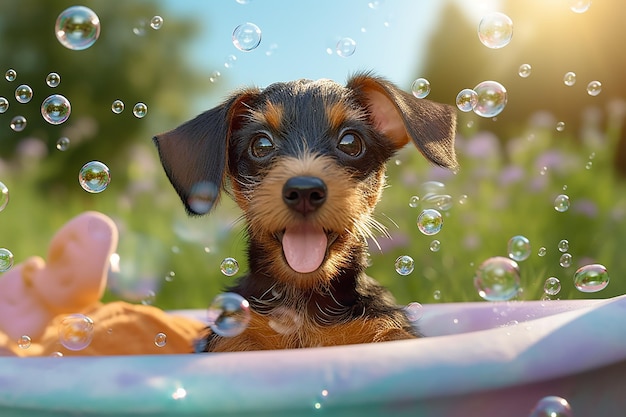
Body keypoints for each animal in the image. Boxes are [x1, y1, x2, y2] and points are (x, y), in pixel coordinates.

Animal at [151, 73, 454, 350]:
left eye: (350, 142)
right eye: (261, 144)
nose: (305, 191)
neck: (303, 306)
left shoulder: (381, 325)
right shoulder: (236, 333)